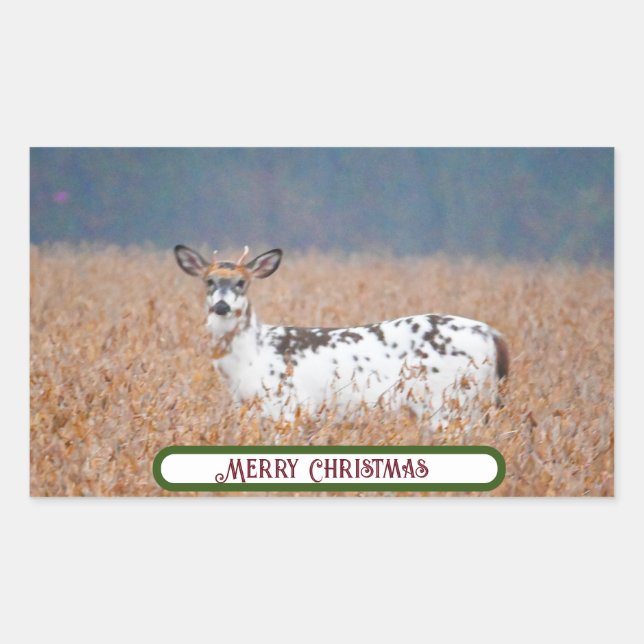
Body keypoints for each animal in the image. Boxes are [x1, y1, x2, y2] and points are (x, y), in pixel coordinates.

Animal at [174, 244, 509, 429]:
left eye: (241, 282)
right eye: (209, 281)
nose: (221, 306)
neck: (250, 360)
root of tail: (491, 333)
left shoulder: (289, 406)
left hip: (451, 401)